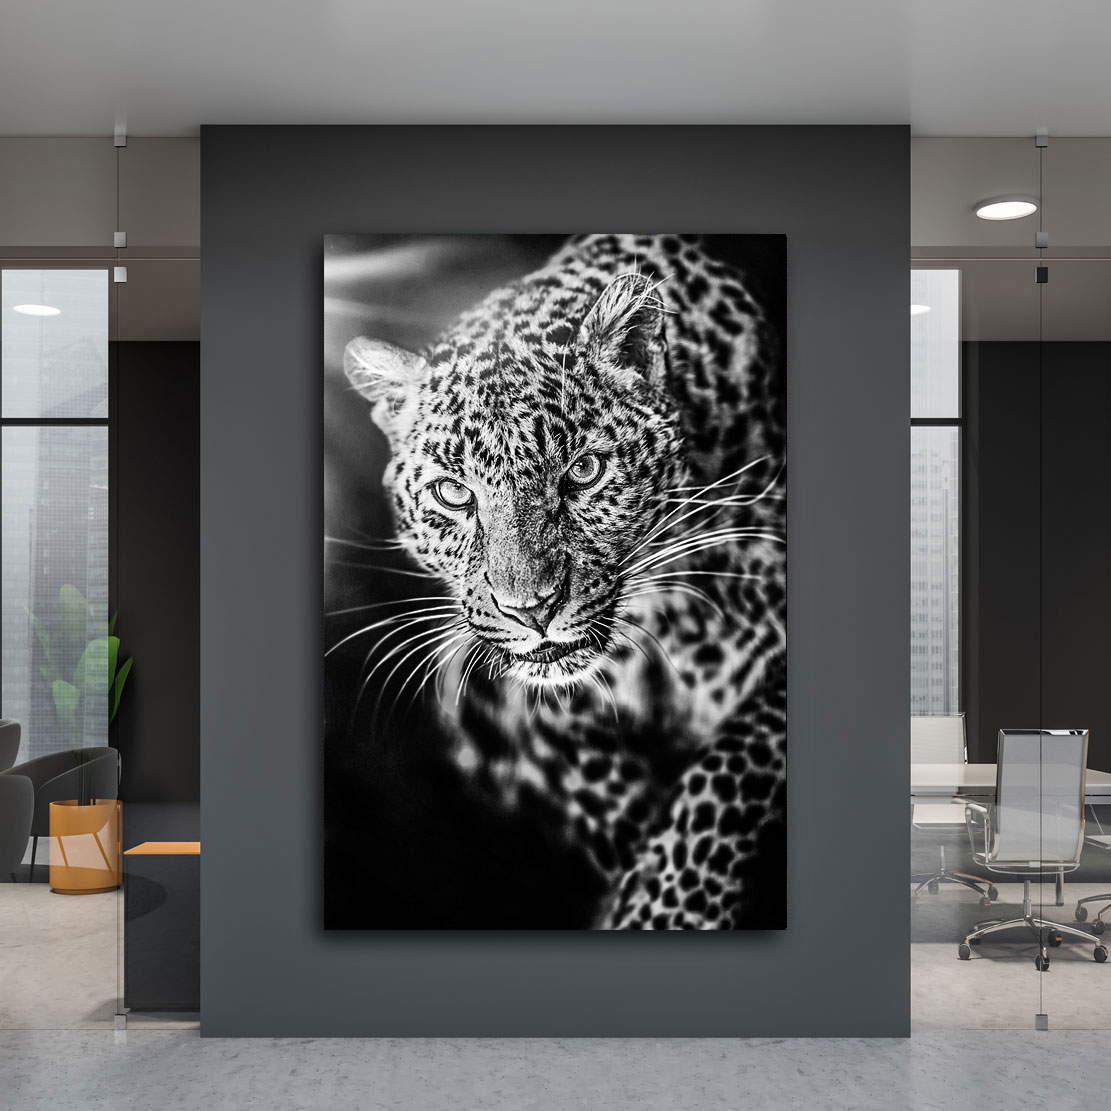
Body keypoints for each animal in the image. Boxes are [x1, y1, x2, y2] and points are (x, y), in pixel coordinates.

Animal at [342, 233, 785, 929]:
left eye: (583, 471)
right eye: (453, 494)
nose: (532, 610)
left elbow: (734, 762)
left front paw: (665, 910)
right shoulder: (499, 705)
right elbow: (600, 789)